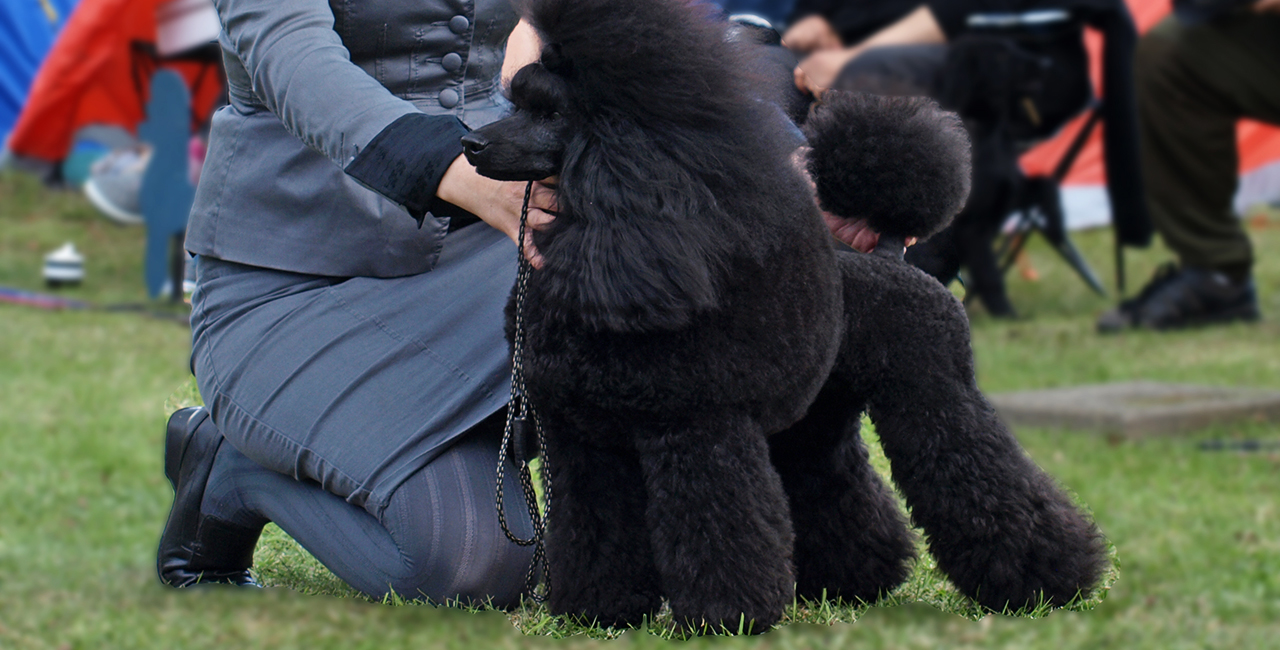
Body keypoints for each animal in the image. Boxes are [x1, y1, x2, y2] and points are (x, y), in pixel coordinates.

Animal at [463, 0, 1111, 632]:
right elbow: (593, 529)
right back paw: (856, 580)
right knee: (832, 478)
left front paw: (724, 620)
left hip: (932, 389)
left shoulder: (698, 428)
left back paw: (1048, 581)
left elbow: (718, 527)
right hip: (818, 414)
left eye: (550, 113)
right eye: (517, 102)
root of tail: (887, 255)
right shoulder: (582, 442)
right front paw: (598, 610)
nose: (470, 146)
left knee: (980, 474)